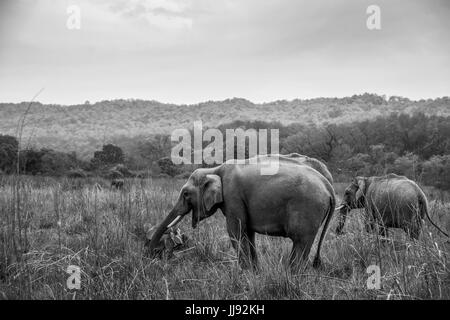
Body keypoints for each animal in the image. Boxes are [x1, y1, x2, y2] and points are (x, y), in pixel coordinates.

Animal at [146, 155, 336, 270]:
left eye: (186, 194)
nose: (153, 254)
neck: (214, 170)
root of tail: (328, 186)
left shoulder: (233, 195)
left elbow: (235, 231)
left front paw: (245, 273)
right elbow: (248, 233)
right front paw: (255, 272)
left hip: (308, 208)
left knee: (300, 241)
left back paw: (291, 275)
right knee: (303, 243)